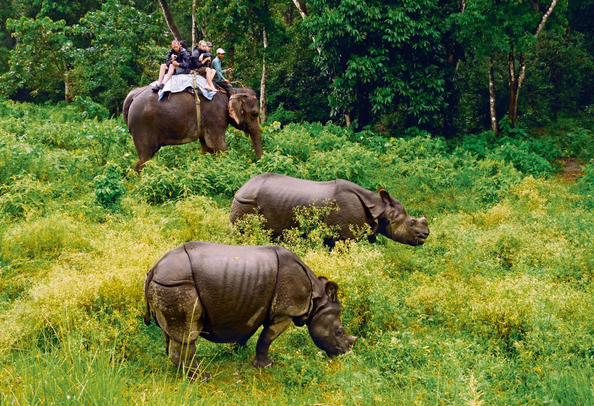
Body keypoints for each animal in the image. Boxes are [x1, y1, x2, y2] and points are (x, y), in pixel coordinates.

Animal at [122, 86, 262, 172]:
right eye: (255, 114)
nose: (259, 163)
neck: (230, 91)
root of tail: (134, 94)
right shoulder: (215, 117)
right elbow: (219, 147)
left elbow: (208, 147)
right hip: (142, 125)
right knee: (145, 158)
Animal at [145, 241, 356, 378]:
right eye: (339, 332)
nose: (345, 353)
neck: (316, 301)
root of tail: (155, 268)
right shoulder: (285, 312)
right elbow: (267, 338)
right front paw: (266, 366)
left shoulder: (252, 308)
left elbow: (247, 330)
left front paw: (238, 351)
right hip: (177, 285)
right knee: (187, 333)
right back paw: (202, 377)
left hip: (168, 284)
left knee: (173, 333)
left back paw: (180, 372)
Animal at [229, 172, 428, 246]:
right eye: (412, 222)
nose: (427, 233)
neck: (381, 209)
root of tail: (242, 188)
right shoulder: (343, 237)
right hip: (246, 203)